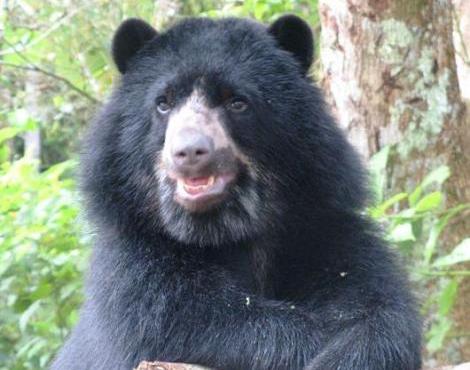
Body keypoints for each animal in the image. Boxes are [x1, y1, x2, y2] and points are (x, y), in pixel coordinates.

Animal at [51, 14, 422, 370]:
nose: (189, 152)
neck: (225, 230)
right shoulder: (136, 267)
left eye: (237, 102)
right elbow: (195, 320)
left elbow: (377, 306)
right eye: (162, 103)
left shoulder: (321, 231)